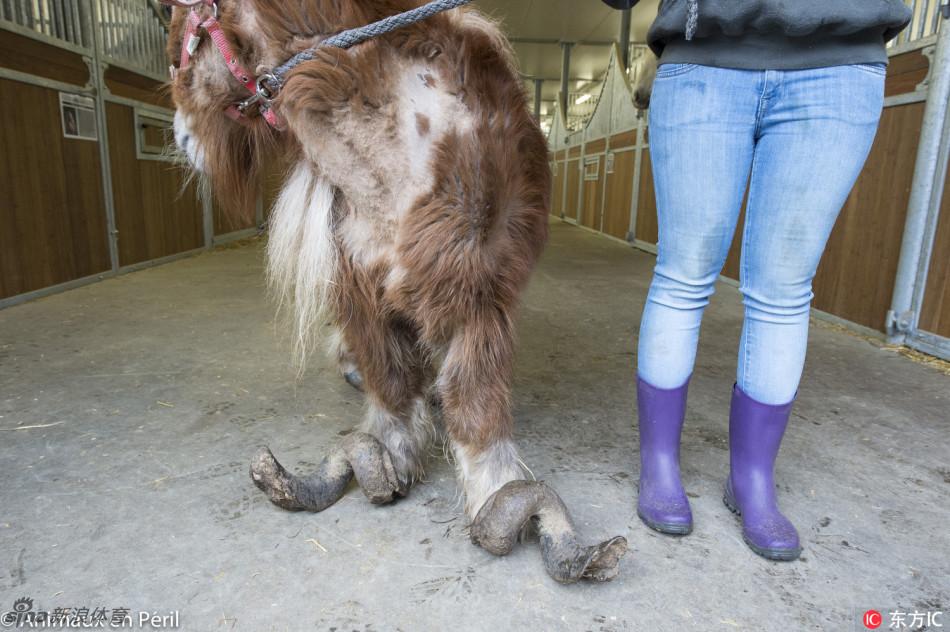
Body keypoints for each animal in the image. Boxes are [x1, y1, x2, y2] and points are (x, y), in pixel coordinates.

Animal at [165, 0, 624, 584]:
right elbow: (391, 386)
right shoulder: (363, 292)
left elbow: (476, 407)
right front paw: (388, 453)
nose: (181, 139)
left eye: (176, 46)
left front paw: (499, 494)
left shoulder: (478, 297)